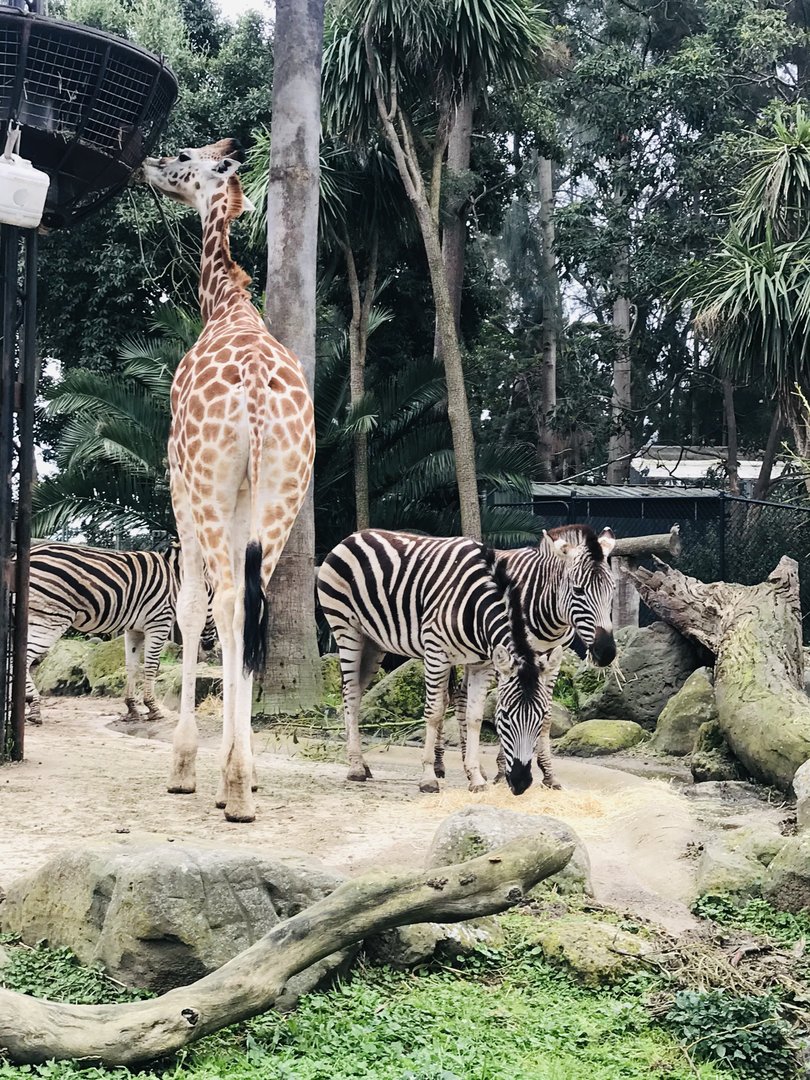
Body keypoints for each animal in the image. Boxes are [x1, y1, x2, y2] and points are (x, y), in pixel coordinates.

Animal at [22, 542, 216, 724]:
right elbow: (151, 666)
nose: (210, 646)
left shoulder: (134, 629)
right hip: (52, 618)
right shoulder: (159, 622)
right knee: (25, 658)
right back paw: (34, 706)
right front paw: (153, 708)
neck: (177, 581)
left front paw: (132, 709)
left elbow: (132, 666)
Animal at [316, 528, 564, 795]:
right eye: (505, 717)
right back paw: (355, 768)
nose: (520, 783)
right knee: (350, 694)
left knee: (356, 693)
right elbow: (434, 713)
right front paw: (428, 777)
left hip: (374, 643)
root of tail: (355, 535)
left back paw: (362, 762)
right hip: (347, 629)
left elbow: (474, 717)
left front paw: (476, 778)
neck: (477, 605)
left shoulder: (482, 664)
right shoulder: (436, 652)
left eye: (541, 718)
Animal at [452, 524, 616, 789]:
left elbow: (546, 715)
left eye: (612, 589)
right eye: (578, 590)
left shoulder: (552, 657)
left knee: (460, 694)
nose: (606, 652)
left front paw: (549, 774)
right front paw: (503, 770)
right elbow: (506, 705)